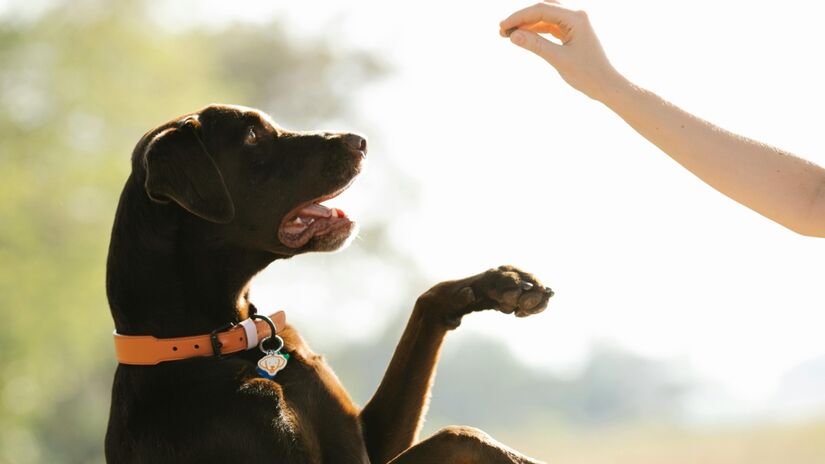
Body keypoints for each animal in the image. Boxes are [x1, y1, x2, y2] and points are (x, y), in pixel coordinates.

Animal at [103, 105, 552, 464]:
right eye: (252, 136)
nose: (359, 140)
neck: (225, 340)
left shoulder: (364, 437)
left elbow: (429, 305)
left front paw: (504, 283)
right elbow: (459, 434)